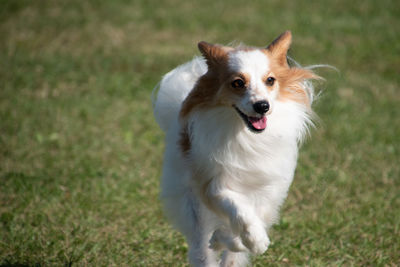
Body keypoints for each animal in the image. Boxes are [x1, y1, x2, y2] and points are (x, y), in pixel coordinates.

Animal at [153, 30, 322, 266]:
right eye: (238, 83)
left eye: (270, 80)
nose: (262, 106)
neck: (245, 135)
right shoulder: (214, 185)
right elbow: (239, 211)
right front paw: (255, 239)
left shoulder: (269, 190)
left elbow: (245, 228)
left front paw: (233, 239)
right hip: (191, 204)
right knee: (200, 245)